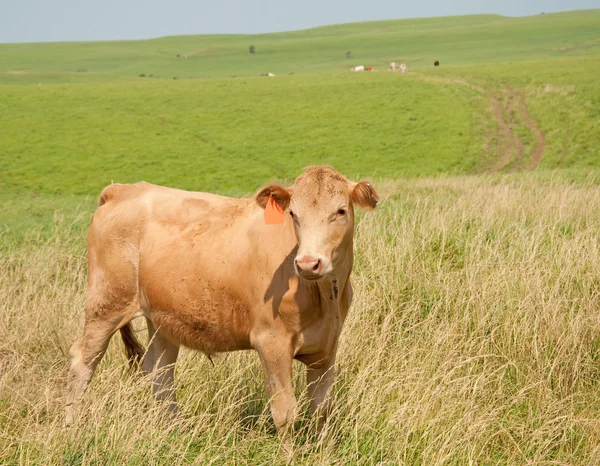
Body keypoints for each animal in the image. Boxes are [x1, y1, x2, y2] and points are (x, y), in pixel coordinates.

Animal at [63, 167, 378, 434]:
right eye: (293, 214)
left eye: (340, 211)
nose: (308, 263)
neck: (321, 296)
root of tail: (122, 190)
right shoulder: (271, 342)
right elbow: (285, 412)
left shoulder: (327, 345)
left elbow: (322, 410)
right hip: (106, 303)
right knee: (83, 362)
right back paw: (72, 427)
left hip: (161, 318)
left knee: (159, 373)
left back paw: (174, 432)